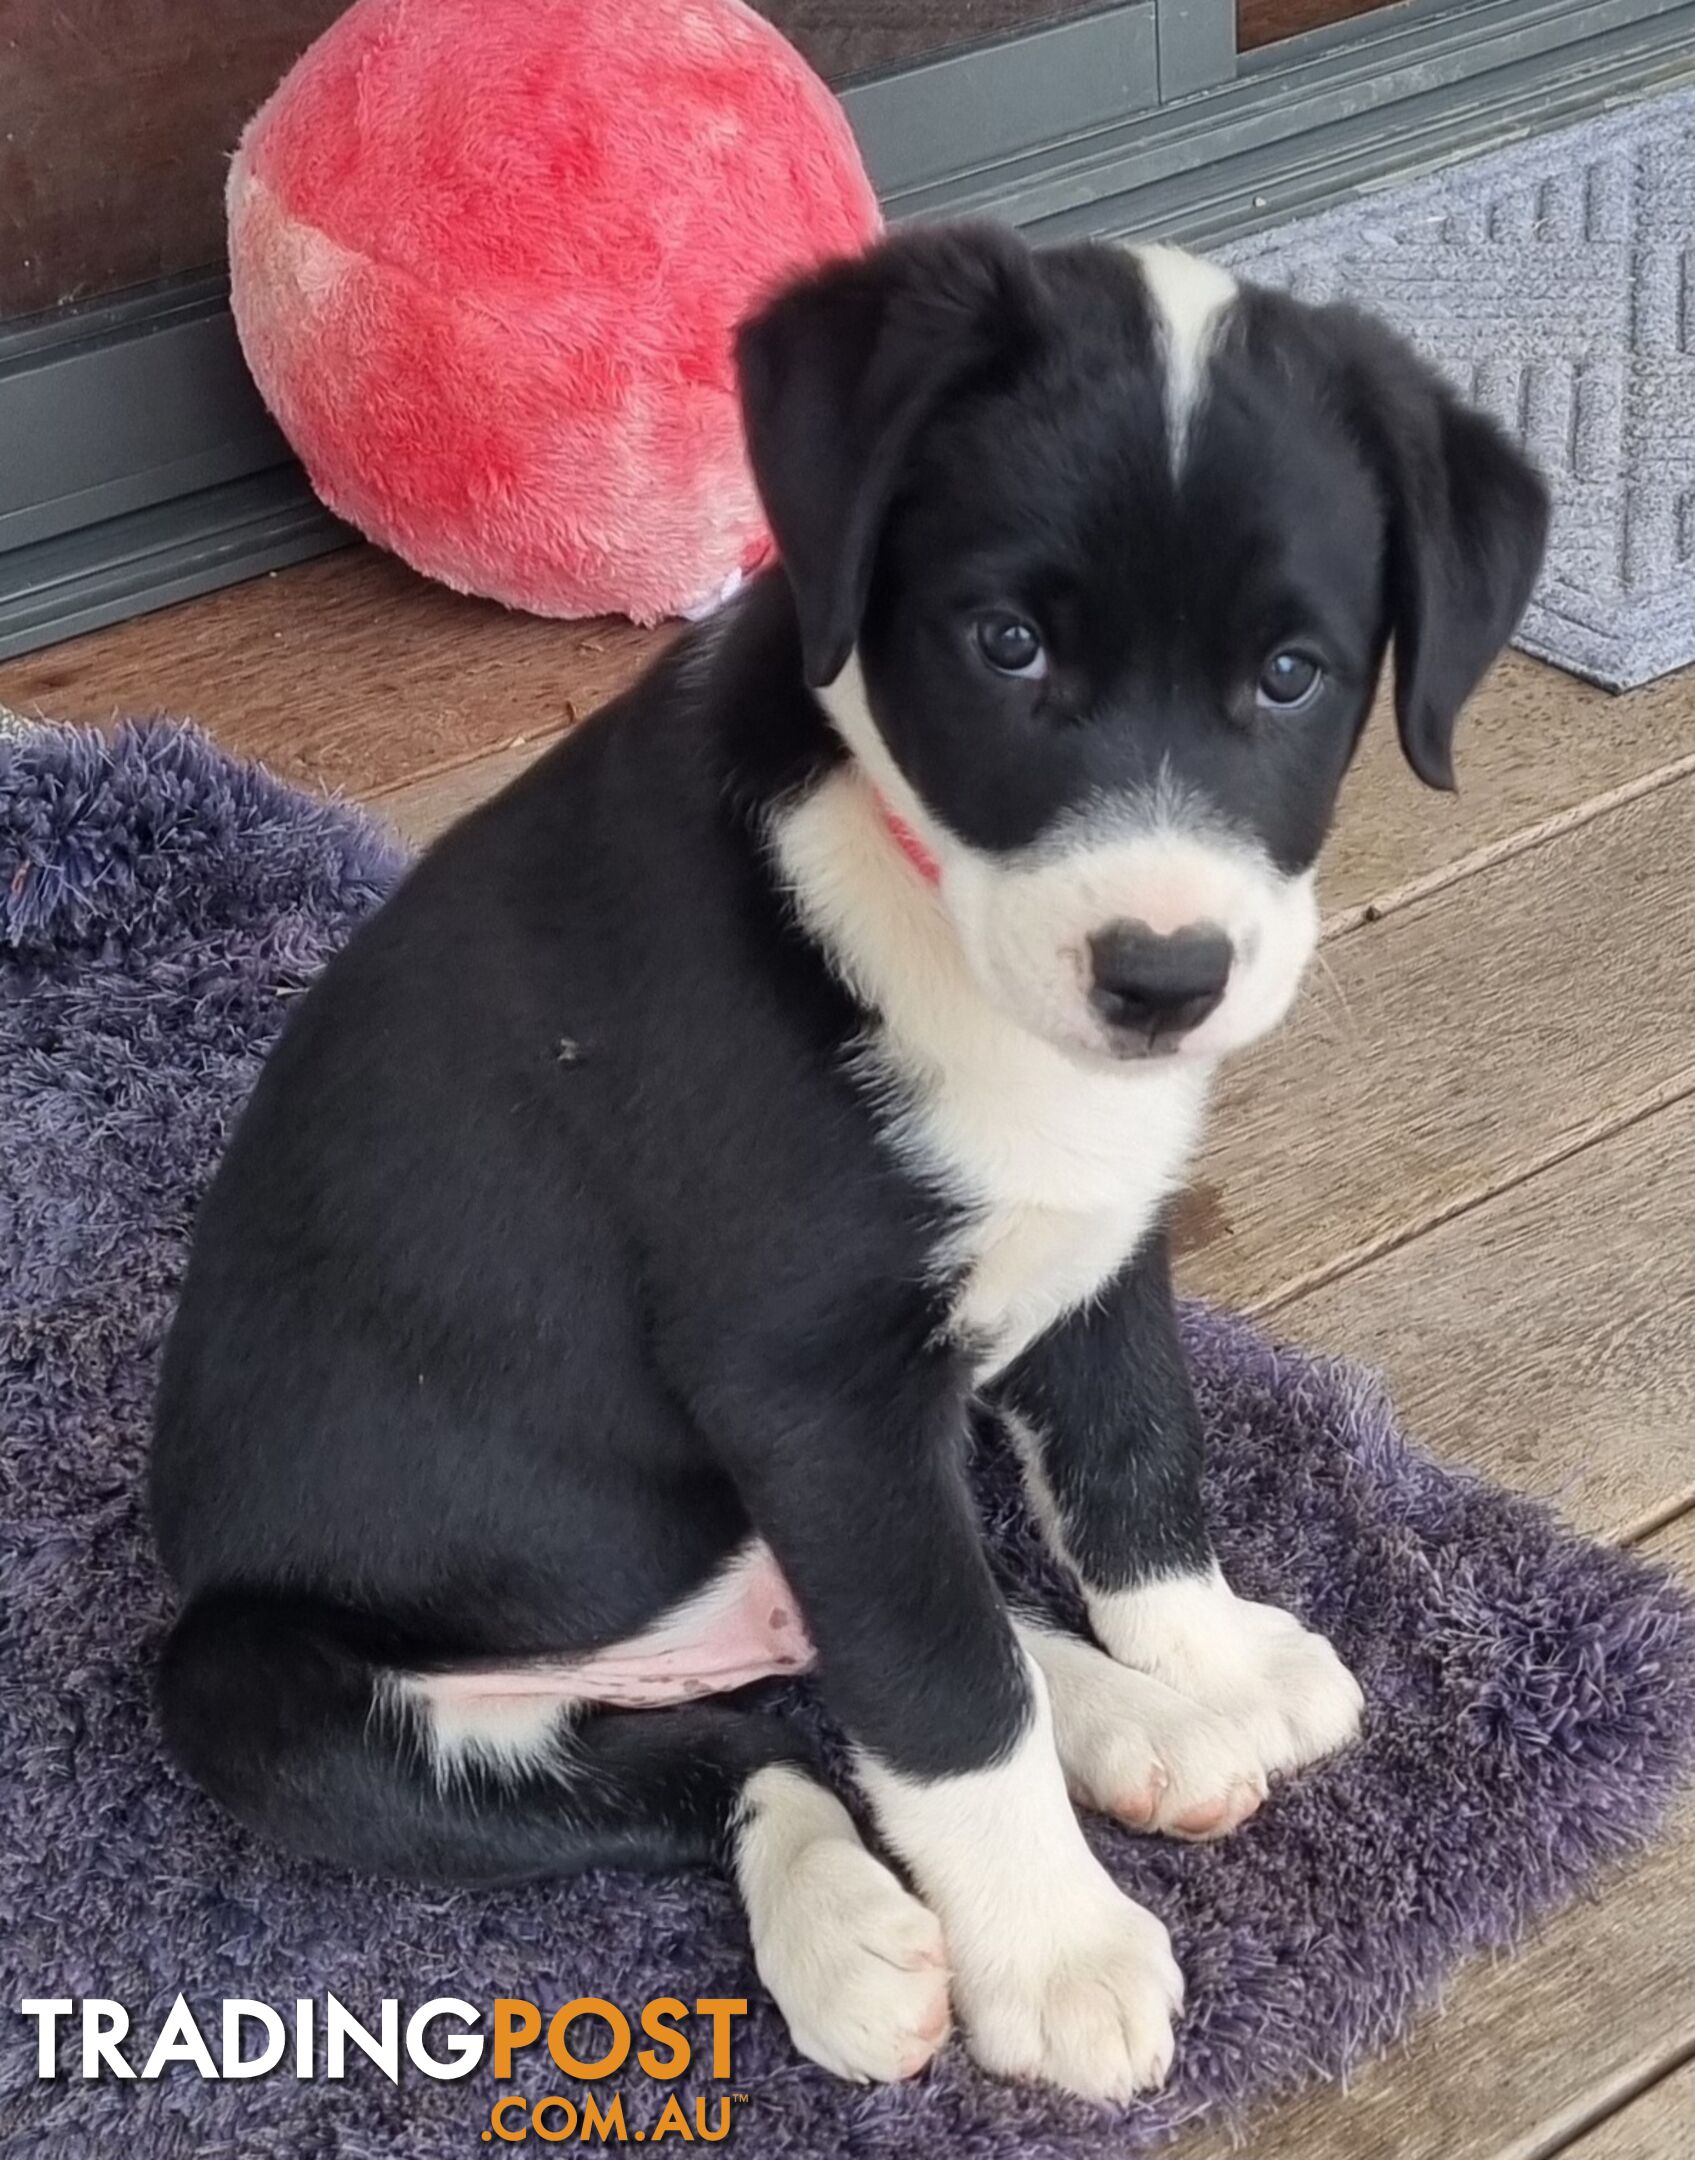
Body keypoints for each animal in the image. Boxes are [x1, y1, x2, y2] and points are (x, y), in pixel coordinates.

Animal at [155, 227, 1546, 2099]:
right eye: (1006, 644)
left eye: (1290, 674)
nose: (1162, 976)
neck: (924, 905)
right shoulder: (806, 1383)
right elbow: (943, 1701)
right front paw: (1054, 1950)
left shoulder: (1095, 1255)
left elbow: (1134, 1470)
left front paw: (1200, 1650)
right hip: (257, 1690)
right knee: (769, 1741)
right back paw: (857, 1933)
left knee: (846, 1662)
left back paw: (1146, 1728)